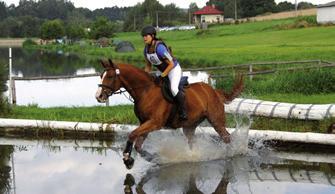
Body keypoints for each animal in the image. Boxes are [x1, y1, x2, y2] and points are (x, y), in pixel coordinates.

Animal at [96, 59, 243, 170]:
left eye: (110, 76)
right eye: (101, 76)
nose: (98, 96)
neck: (145, 91)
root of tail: (214, 91)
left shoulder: (154, 123)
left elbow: (132, 134)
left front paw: (127, 159)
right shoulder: (145, 123)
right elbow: (138, 145)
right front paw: (153, 158)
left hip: (216, 120)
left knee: (226, 137)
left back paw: (231, 153)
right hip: (189, 126)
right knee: (192, 142)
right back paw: (192, 156)